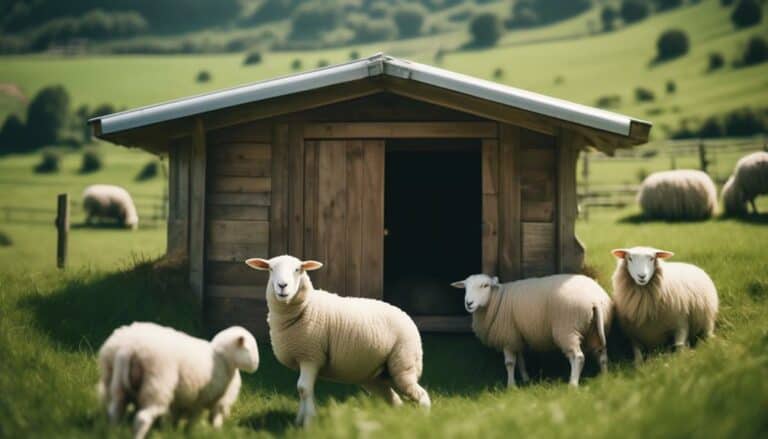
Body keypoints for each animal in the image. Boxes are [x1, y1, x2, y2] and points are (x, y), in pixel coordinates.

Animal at [97, 322, 260, 438]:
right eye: (250, 348)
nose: (257, 365)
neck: (223, 358)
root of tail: (128, 348)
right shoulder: (203, 400)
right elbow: (202, 420)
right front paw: (198, 433)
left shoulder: (183, 400)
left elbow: (174, 419)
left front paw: (171, 432)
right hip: (157, 384)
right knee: (142, 418)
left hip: (115, 382)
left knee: (115, 410)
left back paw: (112, 432)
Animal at [243, 254, 428, 426]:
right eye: (271, 269)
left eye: (298, 269)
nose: (282, 286)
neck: (306, 306)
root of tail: (407, 317)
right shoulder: (303, 357)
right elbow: (302, 390)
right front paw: (299, 420)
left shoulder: (310, 356)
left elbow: (303, 388)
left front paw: (309, 423)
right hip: (374, 376)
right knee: (394, 400)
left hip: (404, 363)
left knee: (420, 394)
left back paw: (425, 419)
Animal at [450, 274, 612, 390]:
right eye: (465, 287)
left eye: (485, 285)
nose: (469, 303)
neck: (495, 299)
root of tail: (594, 298)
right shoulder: (516, 336)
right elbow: (521, 359)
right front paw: (525, 379)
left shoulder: (507, 337)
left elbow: (509, 363)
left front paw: (511, 387)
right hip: (595, 330)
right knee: (601, 354)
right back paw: (604, 378)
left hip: (567, 328)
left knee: (578, 357)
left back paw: (572, 384)